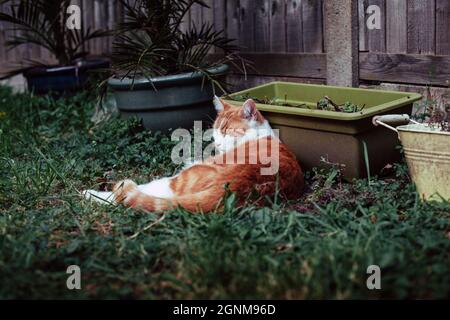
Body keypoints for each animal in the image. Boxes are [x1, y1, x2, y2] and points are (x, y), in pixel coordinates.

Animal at [82, 97, 304, 212]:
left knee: (124, 196)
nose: (217, 142)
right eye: (215, 132)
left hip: (171, 182)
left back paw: (90, 193)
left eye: (227, 132)